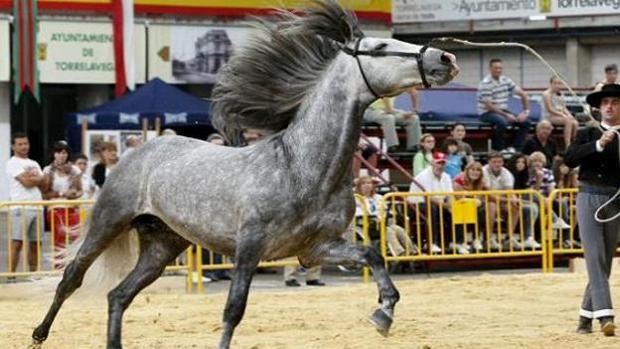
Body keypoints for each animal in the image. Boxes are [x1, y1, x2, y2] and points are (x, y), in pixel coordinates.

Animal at [31, 1, 458, 346]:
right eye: (380, 48)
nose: (445, 58)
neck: (302, 168)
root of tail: (146, 147)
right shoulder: (250, 246)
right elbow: (234, 309)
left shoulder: (316, 248)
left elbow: (373, 254)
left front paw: (383, 313)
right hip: (110, 221)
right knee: (72, 276)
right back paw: (38, 334)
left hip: (163, 245)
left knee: (119, 295)